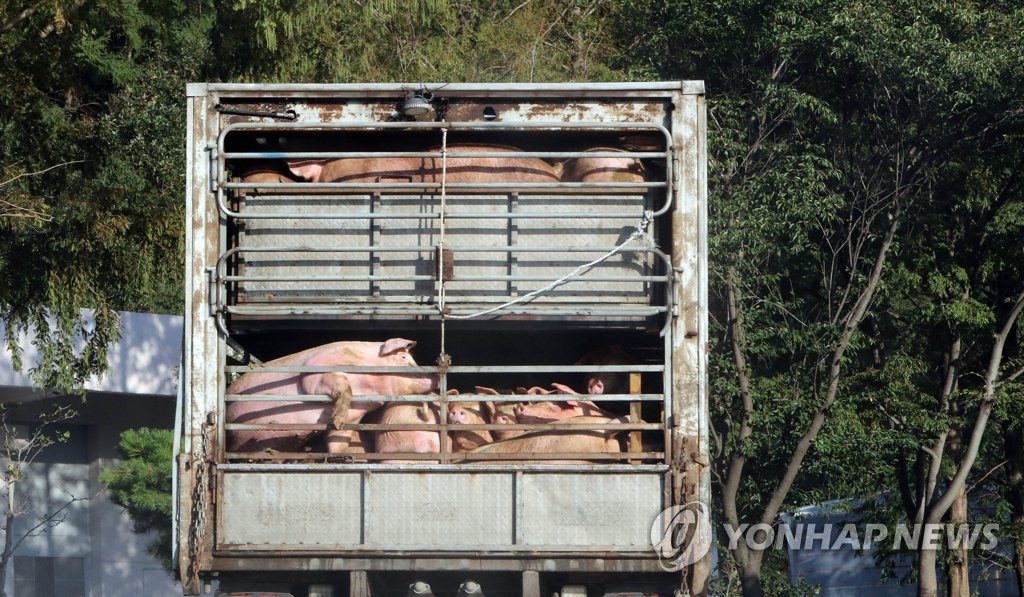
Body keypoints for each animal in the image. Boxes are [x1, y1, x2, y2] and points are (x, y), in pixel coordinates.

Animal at [226, 337, 434, 454]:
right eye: (403, 358)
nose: (434, 376)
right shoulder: (315, 371)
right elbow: (344, 387)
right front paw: (338, 420)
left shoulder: (356, 415)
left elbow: (338, 437)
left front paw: (339, 443)